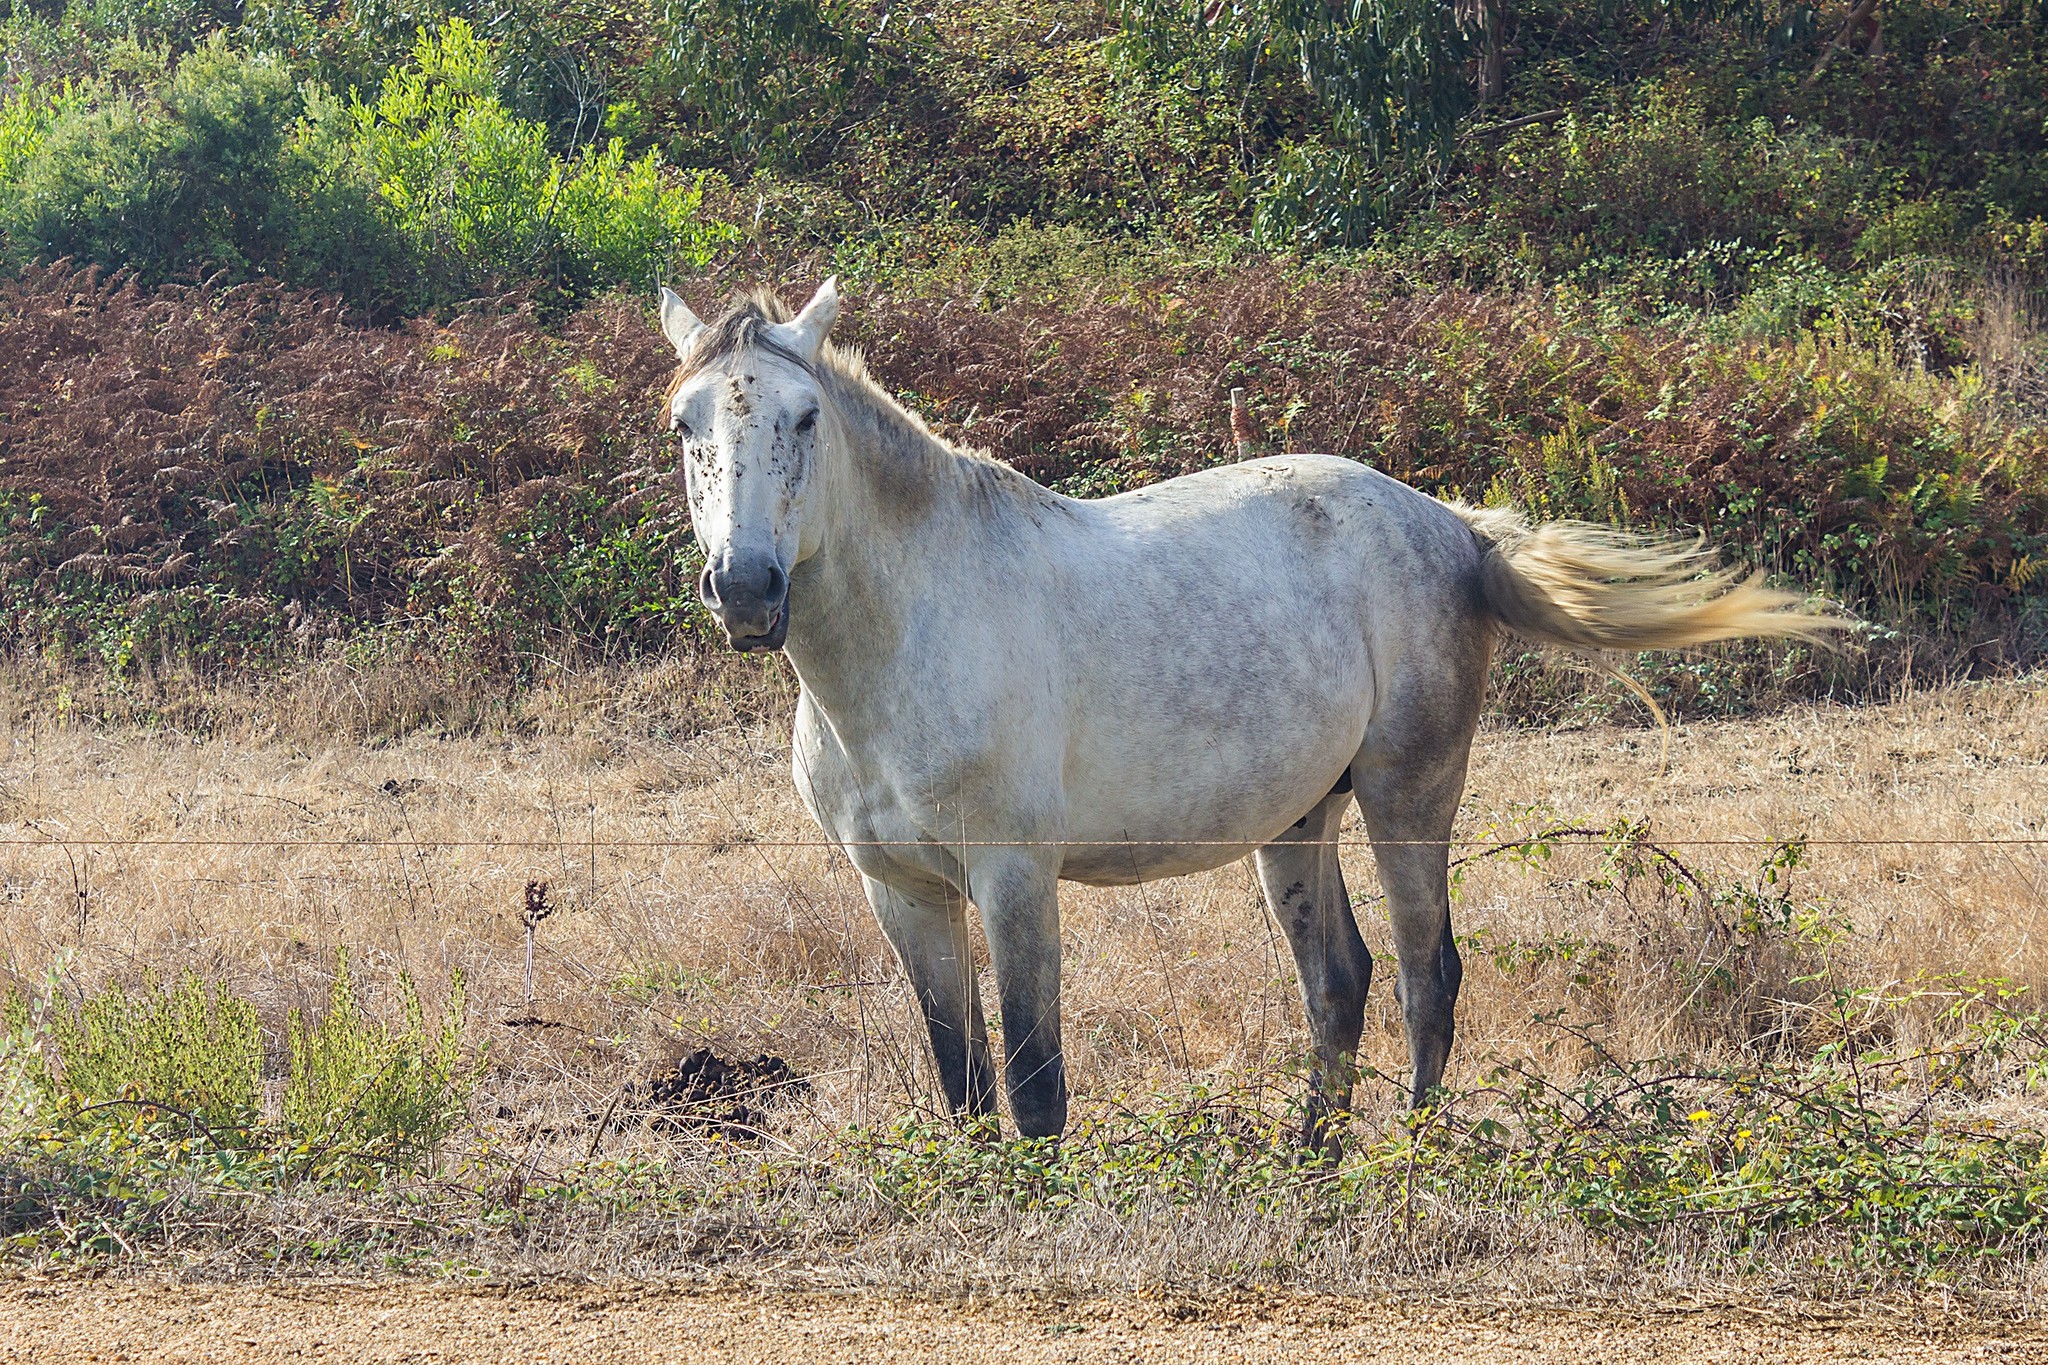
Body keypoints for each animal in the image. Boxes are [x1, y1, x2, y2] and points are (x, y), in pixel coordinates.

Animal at [659, 280, 1843, 1146]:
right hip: (1299, 821)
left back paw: (1405, 1163)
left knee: (1425, 977)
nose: (747, 590)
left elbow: (1035, 1085)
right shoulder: (901, 892)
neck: (907, 638)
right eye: (683, 425)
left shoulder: (1014, 876)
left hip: (1407, 797)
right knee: (1339, 985)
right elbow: (962, 1080)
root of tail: (1454, 528)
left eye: (806, 416)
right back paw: (1306, 1161)